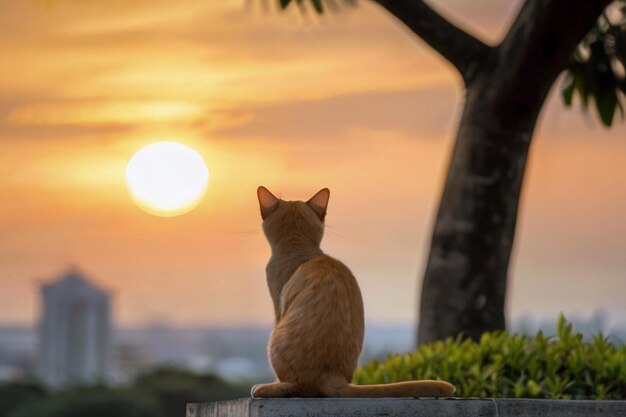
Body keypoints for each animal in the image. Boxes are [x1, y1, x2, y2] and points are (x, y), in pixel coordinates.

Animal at [250, 186, 454, 396]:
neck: (298, 249)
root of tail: (332, 376)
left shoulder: (278, 306)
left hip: (275, 339)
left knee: (298, 385)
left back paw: (264, 388)